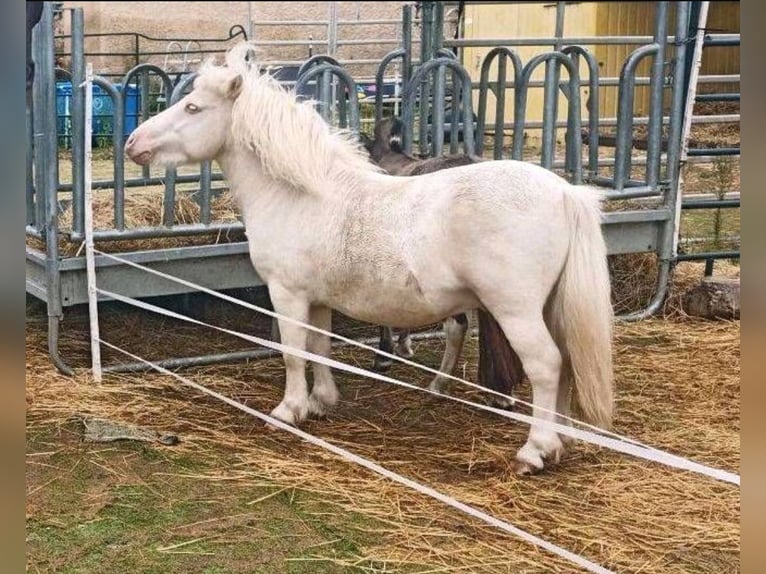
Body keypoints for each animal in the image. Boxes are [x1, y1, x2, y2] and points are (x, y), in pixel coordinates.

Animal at [127, 46, 616, 476]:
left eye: (193, 108)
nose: (134, 142)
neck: (299, 194)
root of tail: (565, 192)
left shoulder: (287, 293)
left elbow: (293, 352)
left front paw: (288, 410)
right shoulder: (318, 299)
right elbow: (320, 347)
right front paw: (321, 402)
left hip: (516, 311)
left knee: (547, 366)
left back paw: (535, 450)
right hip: (549, 308)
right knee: (566, 363)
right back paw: (561, 442)